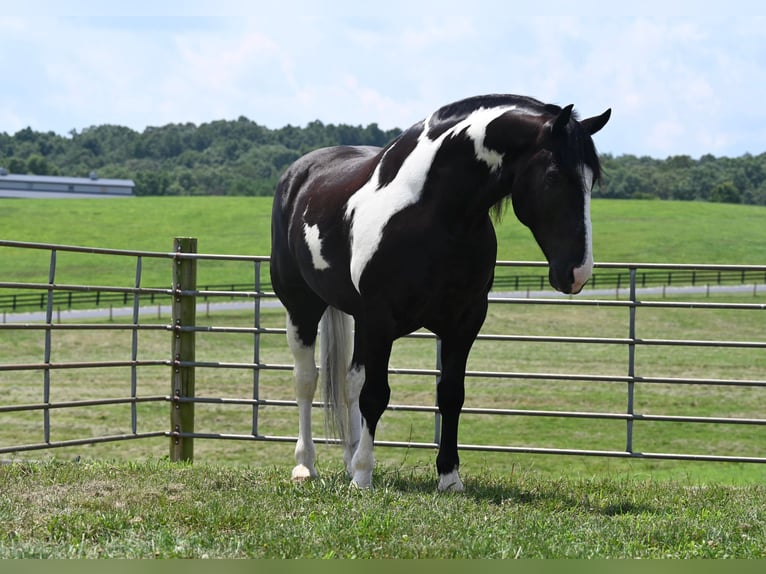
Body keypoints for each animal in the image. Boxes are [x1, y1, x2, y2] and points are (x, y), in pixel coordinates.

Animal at [270, 92, 612, 492]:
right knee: (307, 381)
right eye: (555, 175)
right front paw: (364, 477)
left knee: (349, 383)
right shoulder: (380, 319)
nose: (578, 272)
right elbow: (376, 395)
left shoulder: (464, 321)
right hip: (303, 308)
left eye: (593, 179)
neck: (432, 212)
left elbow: (450, 395)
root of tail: (298, 174)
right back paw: (306, 465)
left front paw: (449, 478)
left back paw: (349, 459)